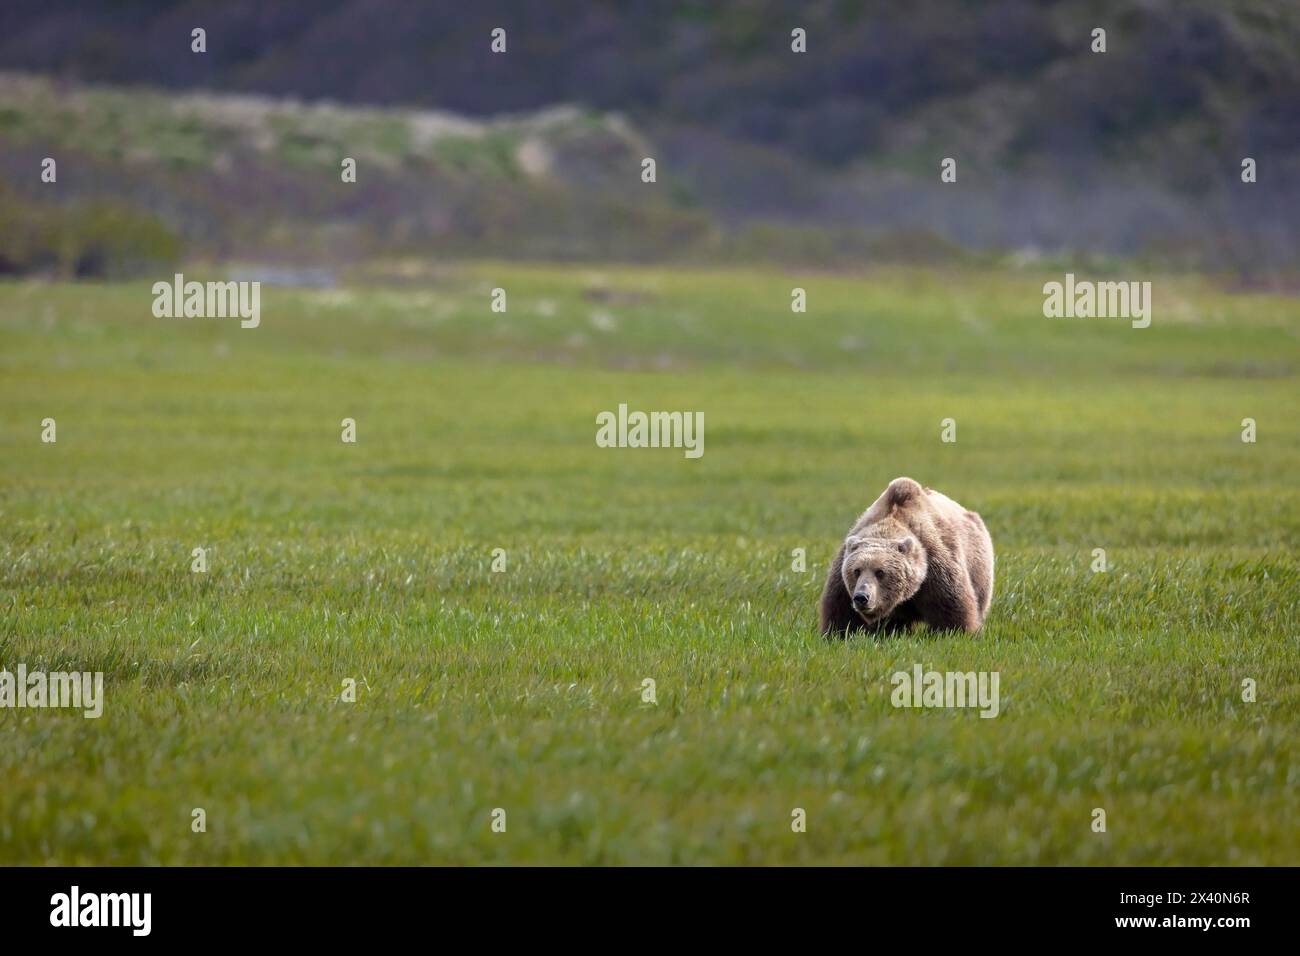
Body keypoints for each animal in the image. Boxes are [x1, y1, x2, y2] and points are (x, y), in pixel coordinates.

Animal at [821, 478, 993, 634]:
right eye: (856, 571)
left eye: (880, 572)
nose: (862, 597)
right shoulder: (843, 576)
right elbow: (841, 611)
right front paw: (838, 633)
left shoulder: (936, 566)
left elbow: (951, 608)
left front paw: (957, 632)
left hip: (979, 567)